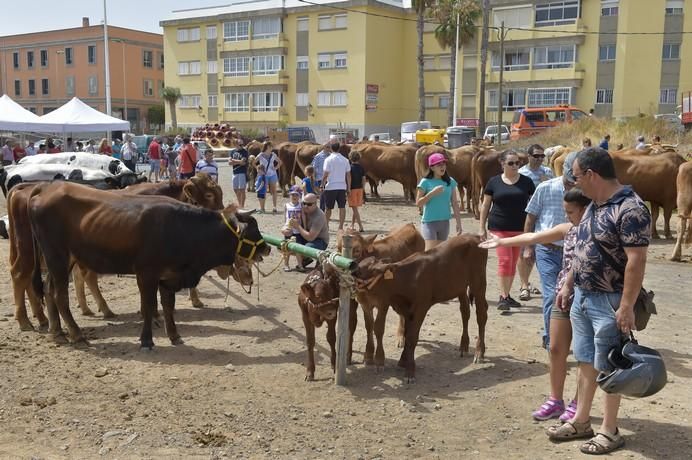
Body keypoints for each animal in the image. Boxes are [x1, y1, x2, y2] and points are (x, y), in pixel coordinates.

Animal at [29, 181, 270, 346]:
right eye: (252, 228)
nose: (266, 248)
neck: (181, 228)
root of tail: (46, 189)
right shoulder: (146, 274)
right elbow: (148, 306)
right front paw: (147, 340)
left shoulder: (168, 277)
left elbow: (167, 306)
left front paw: (174, 335)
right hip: (58, 258)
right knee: (60, 295)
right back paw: (76, 333)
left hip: (61, 261)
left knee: (49, 290)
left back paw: (58, 332)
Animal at [338, 225, 424, 368]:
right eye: (337, 248)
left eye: (357, 250)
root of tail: (409, 226)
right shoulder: (363, 303)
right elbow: (367, 326)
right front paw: (365, 356)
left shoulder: (383, 302)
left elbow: (378, 328)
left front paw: (379, 358)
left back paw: (401, 337)